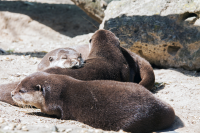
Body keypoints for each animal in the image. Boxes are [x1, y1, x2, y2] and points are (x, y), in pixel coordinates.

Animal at [11, 71, 175, 133]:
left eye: (22, 91)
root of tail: (163, 109)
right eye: (17, 85)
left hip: (132, 120)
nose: (12, 93)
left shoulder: (55, 105)